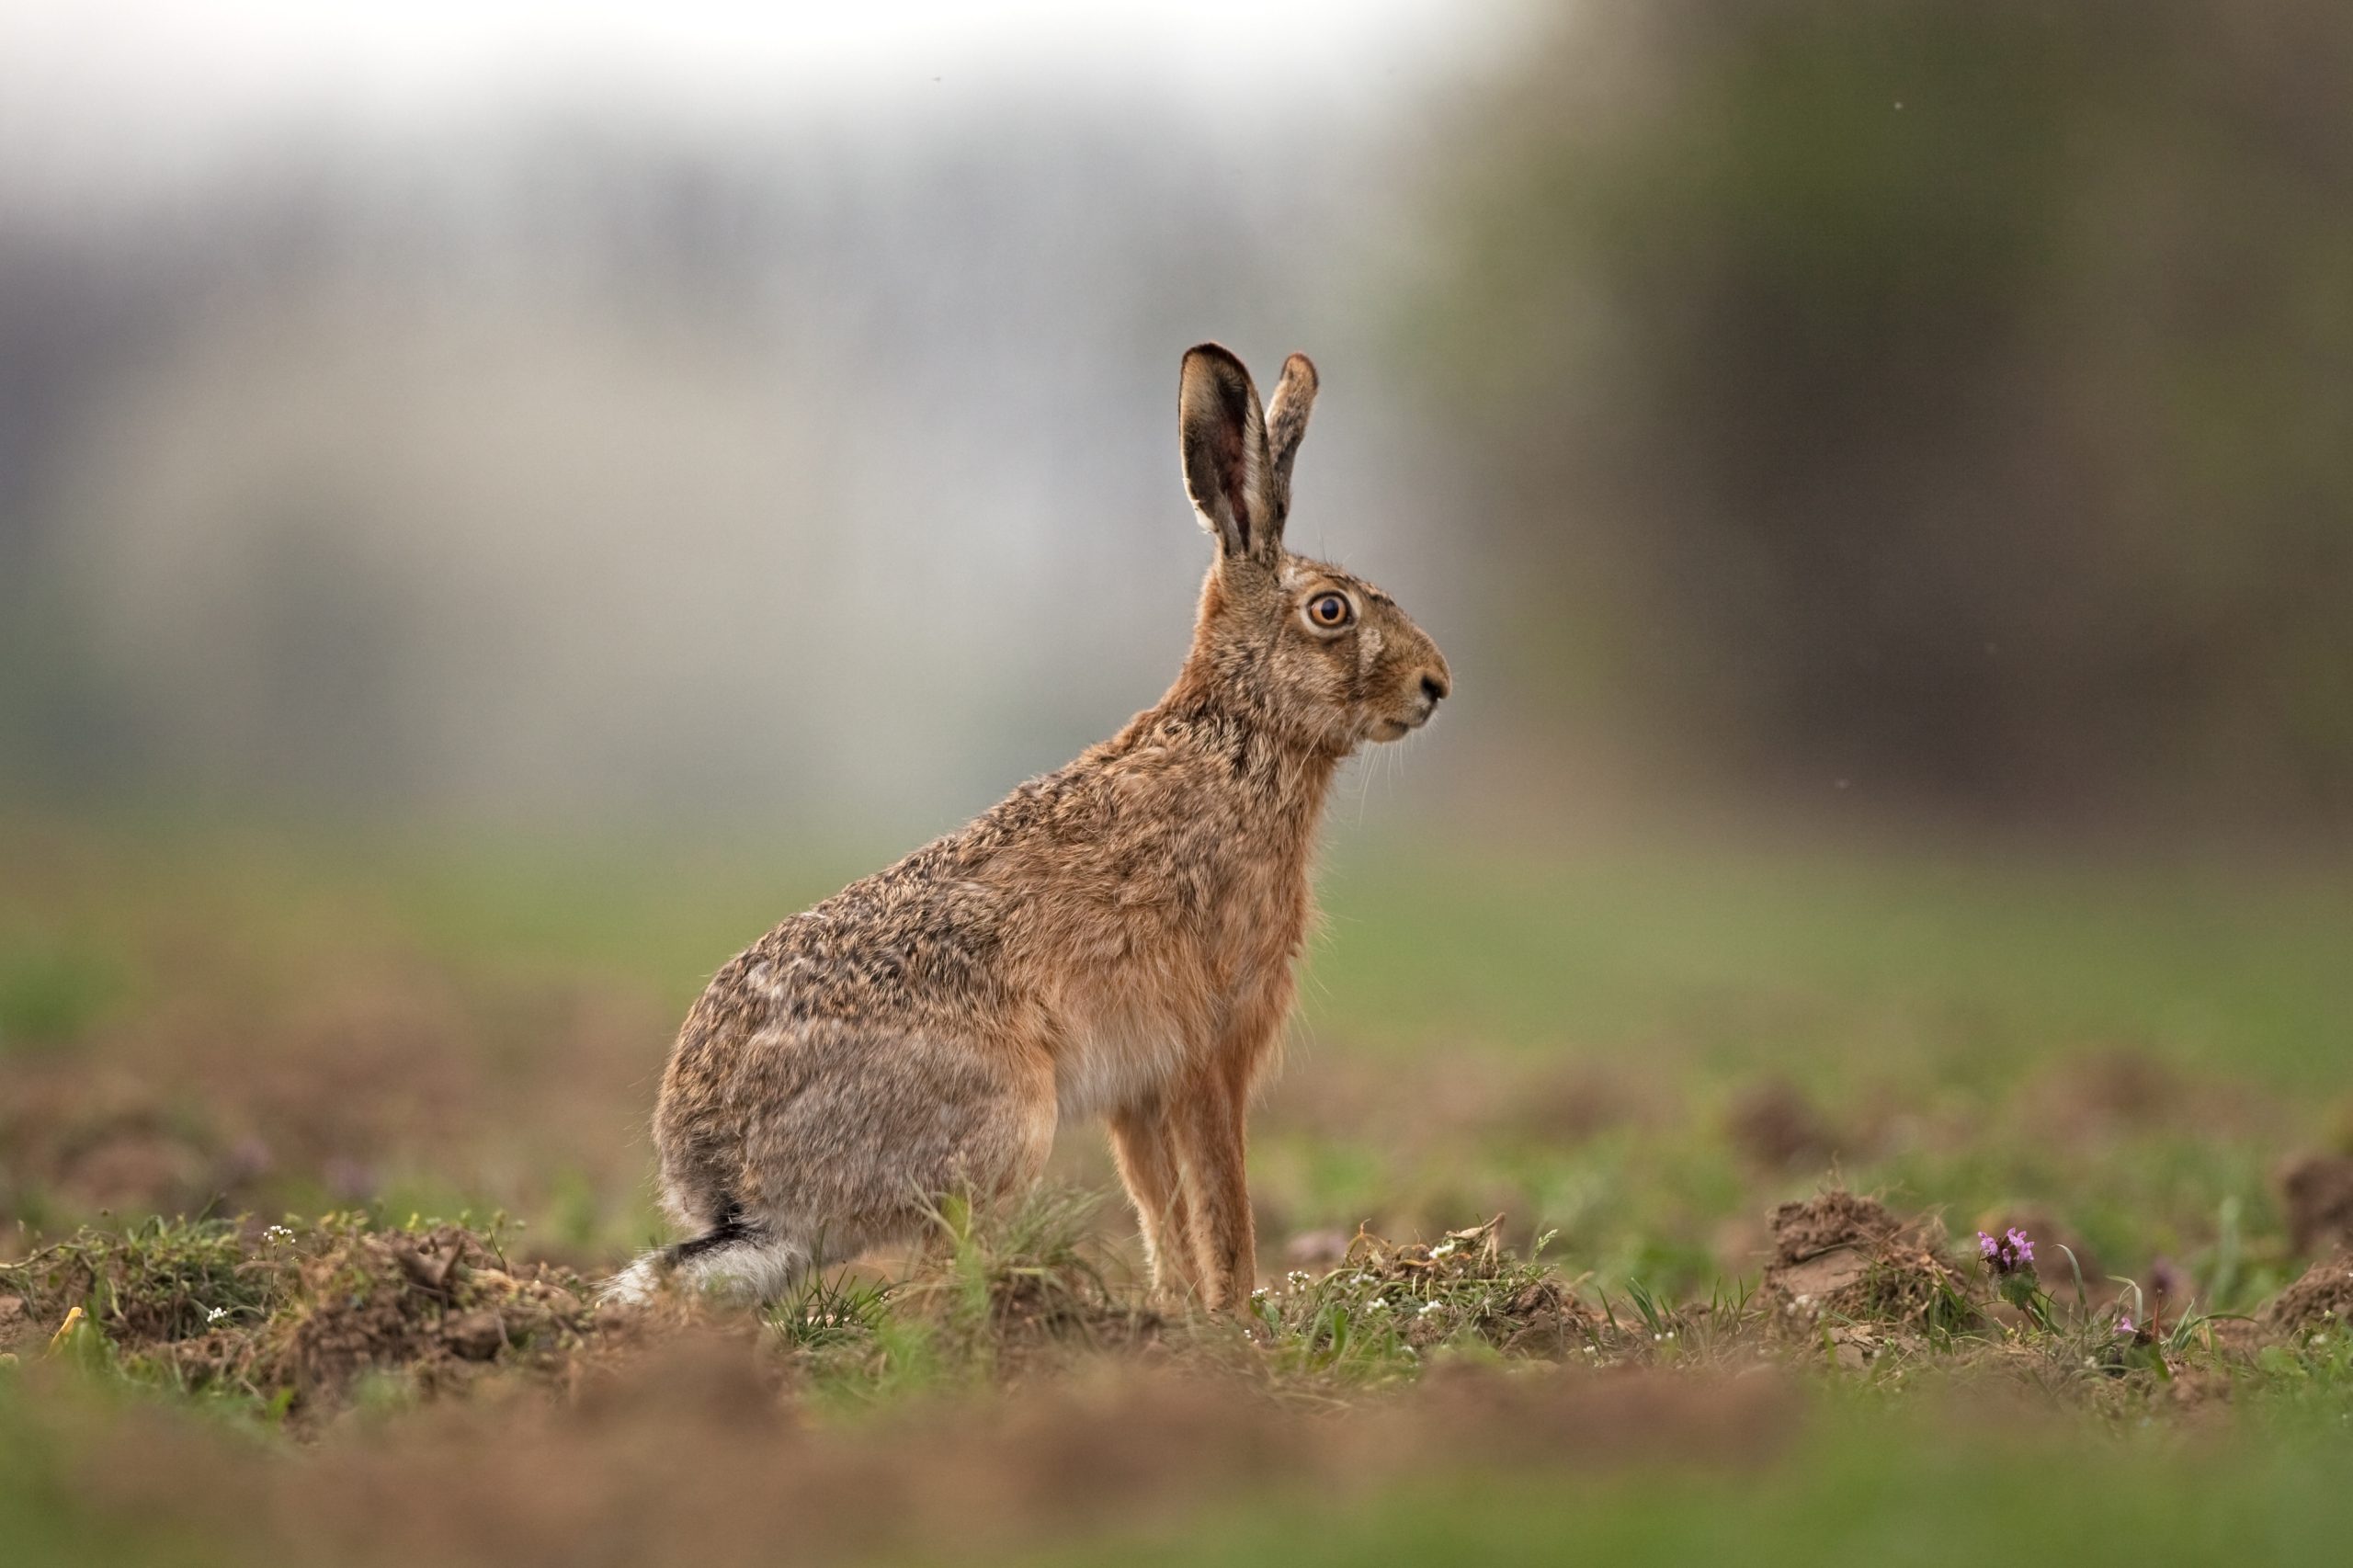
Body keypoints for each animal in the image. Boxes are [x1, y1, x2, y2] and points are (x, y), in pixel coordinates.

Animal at [606, 344, 1450, 1310]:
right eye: (1330, 611)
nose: (1435, 684)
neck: (1243, 733)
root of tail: (732, 1187)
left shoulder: (1138, 1090)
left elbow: (1163, 1212)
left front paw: (1179, 1319)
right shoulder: (1210, 1051)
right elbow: (1223, 1209)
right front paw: (1239, 1322)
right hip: (1008, 1124)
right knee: (930, 1289)